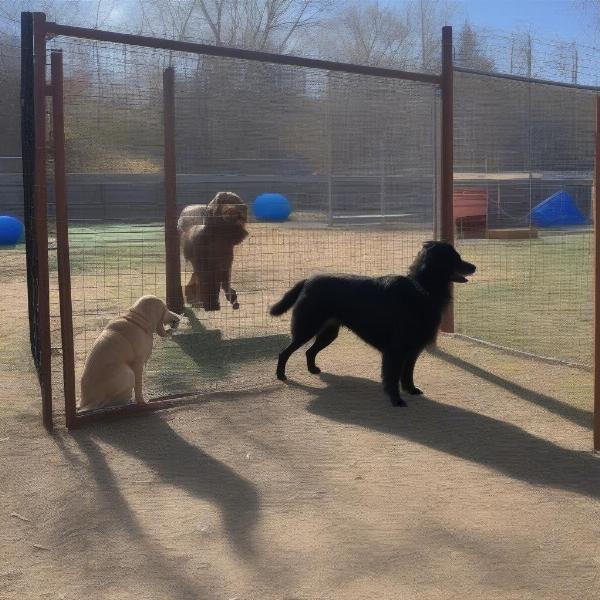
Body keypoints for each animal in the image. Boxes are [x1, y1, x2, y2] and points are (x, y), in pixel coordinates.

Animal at [270, 243, 476, 408]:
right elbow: (392, 377)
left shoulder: (413, 349)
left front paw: (411, 390)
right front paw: (396, 400)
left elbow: (407, 374)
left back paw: (313, 370)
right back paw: (281, 376)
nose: (474, 266)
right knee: (284, 352)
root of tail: (308, 280)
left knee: (309, 351)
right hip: (306, 329)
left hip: (328, 332)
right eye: (454, 258)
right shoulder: (396, 350)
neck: (421, 288)